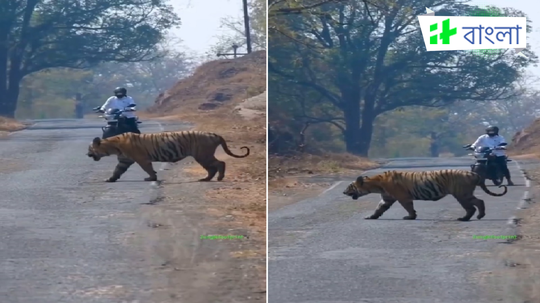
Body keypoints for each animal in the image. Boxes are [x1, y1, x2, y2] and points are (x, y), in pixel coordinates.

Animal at [87, 131, 251, 183]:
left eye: (90, 148)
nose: (87, 154)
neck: (112, 146)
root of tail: (214, 134)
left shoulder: (141, 159)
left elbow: (148, 169)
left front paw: (151, 178)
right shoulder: (124, 160)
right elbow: (117, 170)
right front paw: (110, 179)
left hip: (203, 155)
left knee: (219, 164)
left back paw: (218, 178)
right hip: (203, 156)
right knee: (212, 168)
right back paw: (205, 179)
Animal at [344, 170, 508, 222]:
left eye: (350, 187)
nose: (343, 192)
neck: (375, 184)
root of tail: (473, 173)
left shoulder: (403, 197)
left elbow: (409, 207)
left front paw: (410, 217)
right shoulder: (386, 198)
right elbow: (378, 209)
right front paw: (371, 217)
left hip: (461, 194)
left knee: (472, 206)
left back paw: (465, 218)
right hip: (465, 194)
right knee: (479, 201)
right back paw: (480, 216)